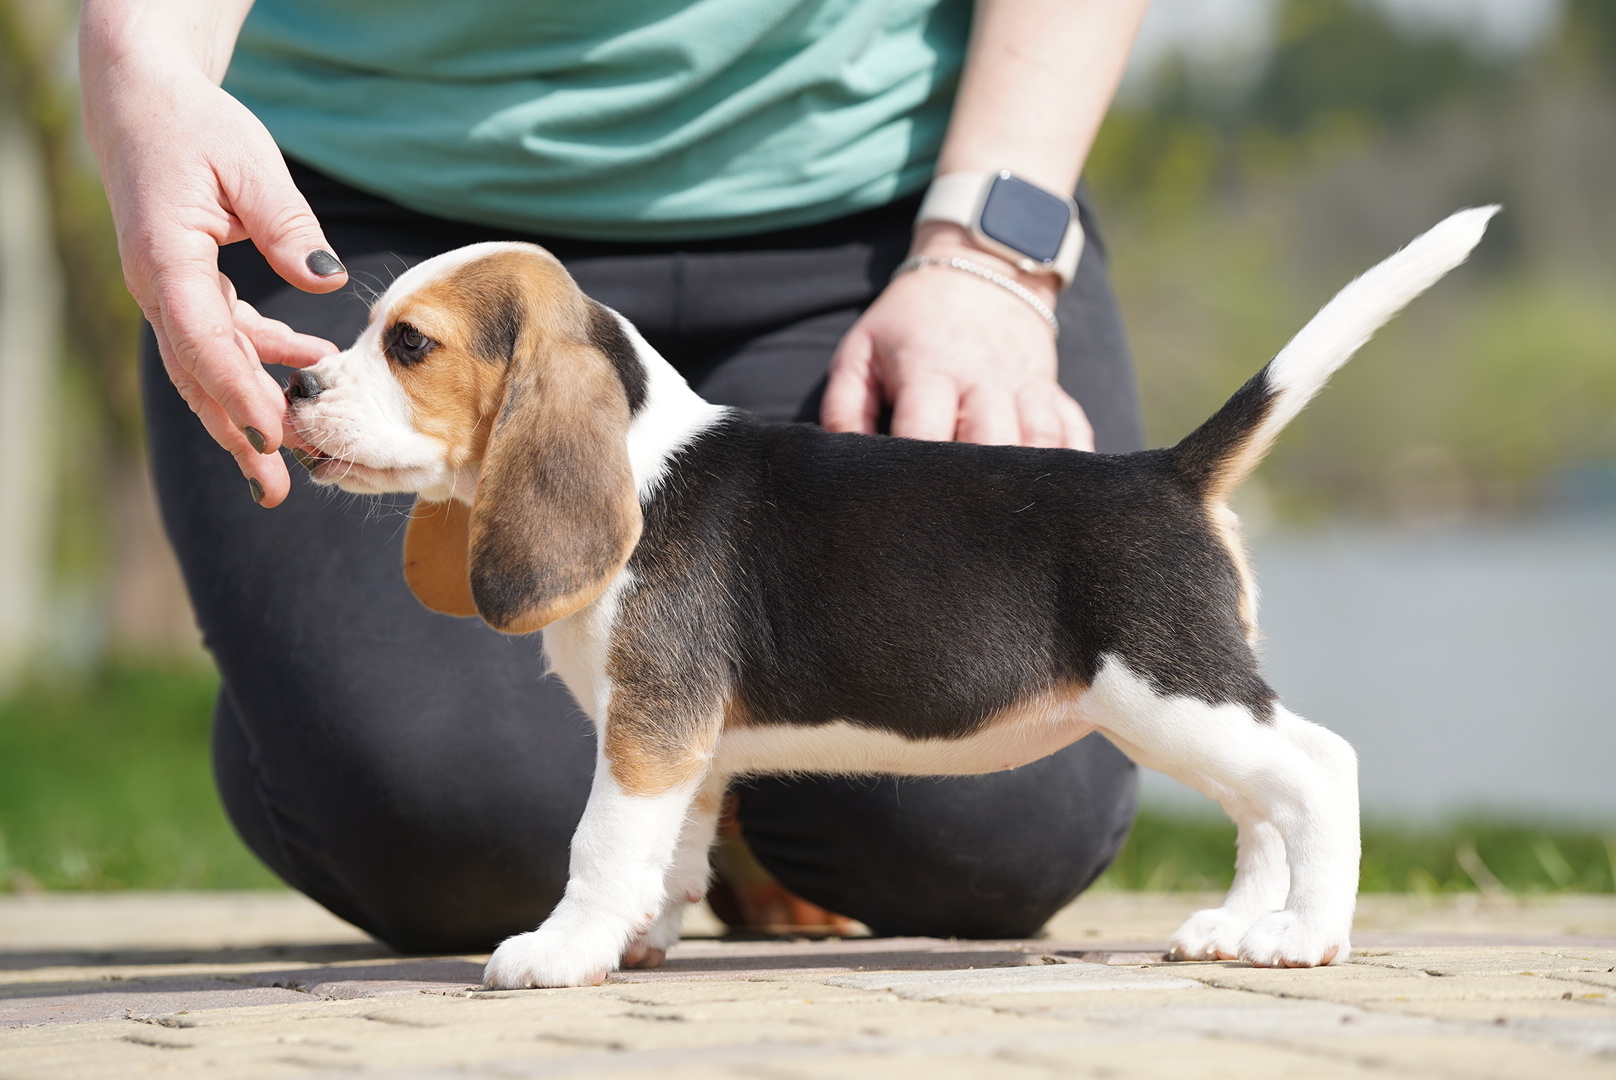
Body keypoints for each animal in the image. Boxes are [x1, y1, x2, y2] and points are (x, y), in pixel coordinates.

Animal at [284, 204, 1493, 989]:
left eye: (409, 344)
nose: (293, 386)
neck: (638, 461)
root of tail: (1165, 470)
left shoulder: (648, 732)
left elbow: (600, 846)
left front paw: (562, 950)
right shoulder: (691, 752)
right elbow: (669, 858)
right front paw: (634, 941)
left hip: (1173, 693)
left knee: (1318, 769)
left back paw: (1305, 935)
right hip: (1173, 712)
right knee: (1261, 803)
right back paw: (1237, 927)